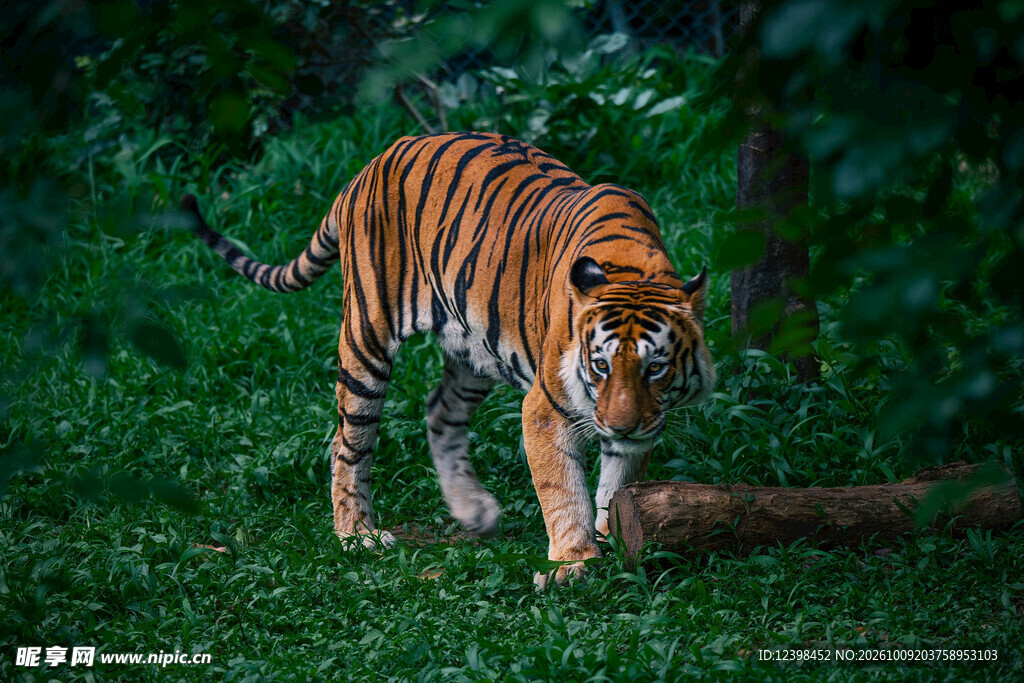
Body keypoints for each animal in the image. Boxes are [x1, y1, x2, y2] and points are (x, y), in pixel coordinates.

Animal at [182, 131, 714, 588]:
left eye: (655, 368)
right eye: (600, 366)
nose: (620, 425)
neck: (633, 269)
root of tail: (372, 164)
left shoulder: (641, 421)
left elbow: (616, 482)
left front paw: (610, 540)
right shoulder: (547, 408)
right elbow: (563, 491)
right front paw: (574, 562)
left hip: (474, 351)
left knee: (439, 412)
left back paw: (472, 512)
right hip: (366, 335)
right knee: (347, 442)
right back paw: (356, 535)